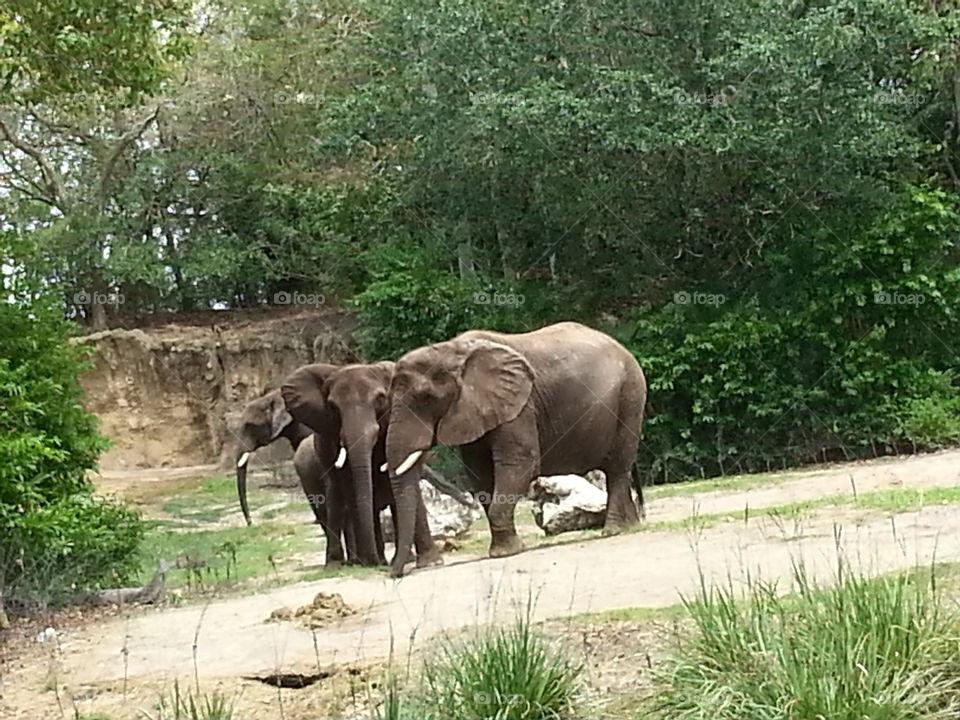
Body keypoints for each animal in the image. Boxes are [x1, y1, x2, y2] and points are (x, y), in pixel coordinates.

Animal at [278, 362, 442, 572]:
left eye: (380, 399)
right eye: (333, 407)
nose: (376, 563)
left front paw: (430, 562)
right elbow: (350, 486)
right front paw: (369, 561)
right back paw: (345, 564)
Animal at [382, 320, 644, 572]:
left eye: (427, 398)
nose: (396, 573)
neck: (452, 350)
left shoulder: (520, 406)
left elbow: (519, 464)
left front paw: (506, 553)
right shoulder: (477, 411)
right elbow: (480, 474)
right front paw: (503, 549)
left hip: (630, 396)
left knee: (617, 469)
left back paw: (613, 530)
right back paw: (630, 525)